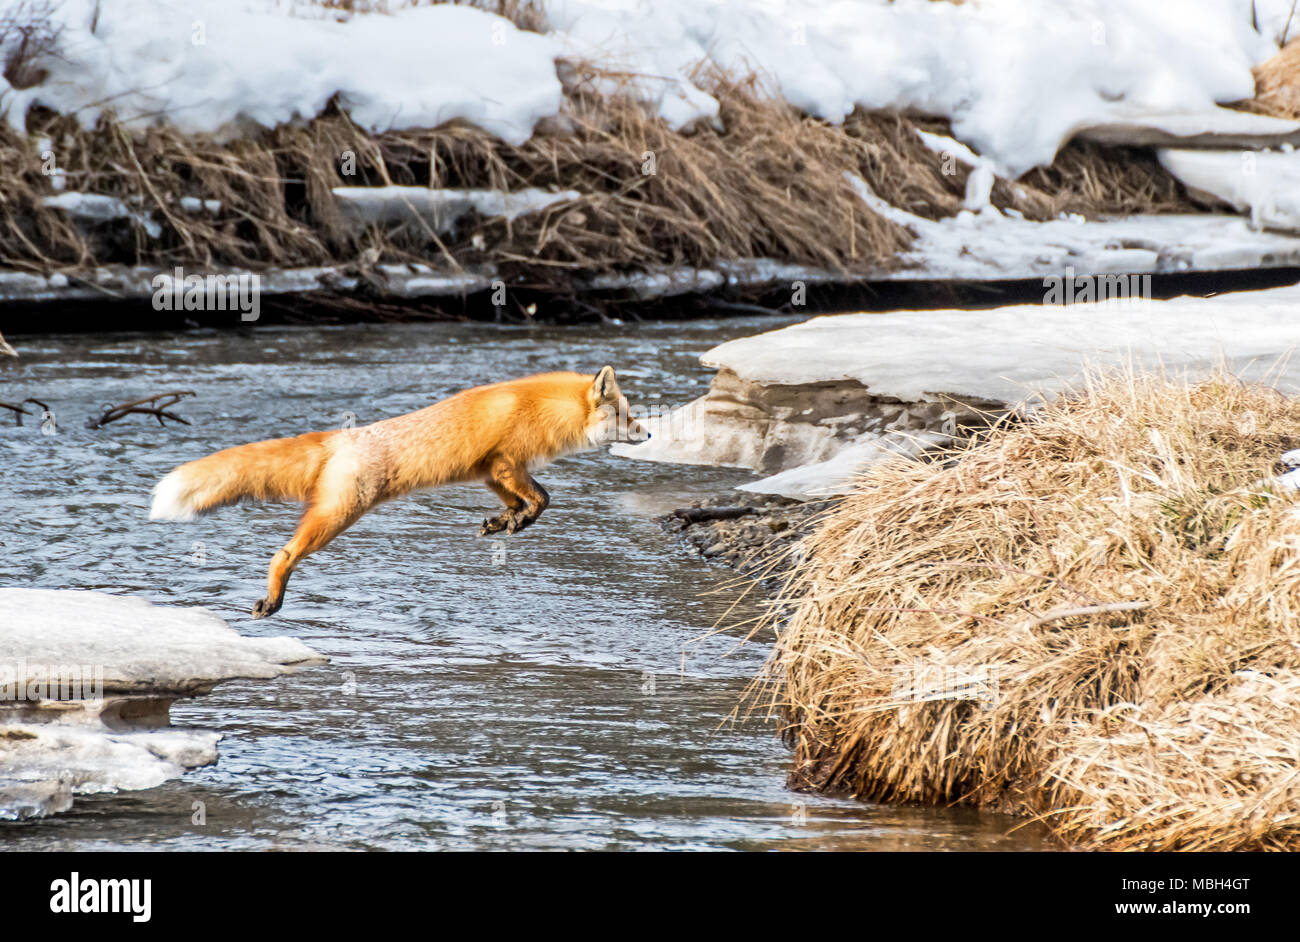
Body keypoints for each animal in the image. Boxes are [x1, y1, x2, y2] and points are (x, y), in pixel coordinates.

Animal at [149, 366, 649, 618]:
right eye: (626, 416)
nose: (646, 434)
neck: (541, 410)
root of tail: (340, 438)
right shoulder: (506, 461)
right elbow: (543, 499)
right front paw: (517, 520)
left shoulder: (491, 470)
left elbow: (527, 502)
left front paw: (505, 522)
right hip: (338, 515)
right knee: (283, 553)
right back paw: (273, 599)